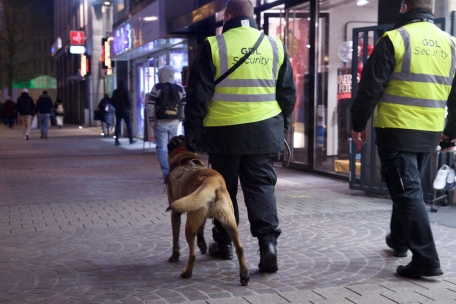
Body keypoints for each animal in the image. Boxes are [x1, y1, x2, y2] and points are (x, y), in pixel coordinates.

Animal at [165, 135, 249, 284]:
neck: (184, 155)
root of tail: (213, 179)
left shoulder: (175, 214)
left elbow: (175, 238)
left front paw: (174, 256)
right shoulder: (201, 217)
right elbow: (201, 230)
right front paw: (203, 245)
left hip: (189, 226)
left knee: (192, 254)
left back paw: (187, 273)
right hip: (229, 222)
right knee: (240, 248)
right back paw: (244, 275)